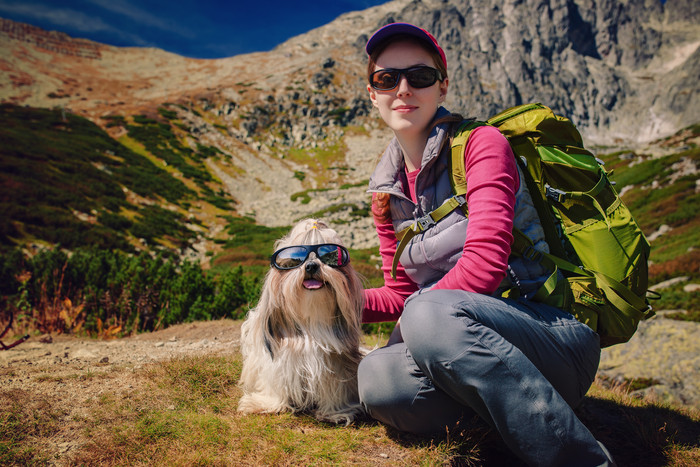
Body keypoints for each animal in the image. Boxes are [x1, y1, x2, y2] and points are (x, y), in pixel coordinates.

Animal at [237, 218, 364, 424]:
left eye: (328, 257)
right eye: (294, 261)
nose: (311, 266)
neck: (311, 320)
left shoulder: (334, 361)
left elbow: (334, 384)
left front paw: (335, 412)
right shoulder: (279, 359)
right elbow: (275, 381)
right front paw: (266, 404)